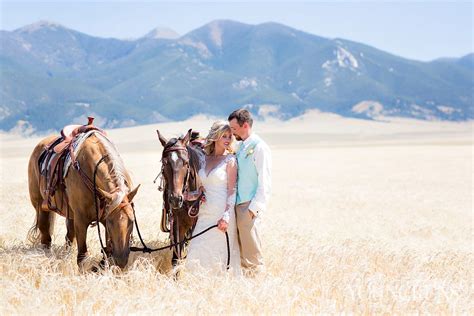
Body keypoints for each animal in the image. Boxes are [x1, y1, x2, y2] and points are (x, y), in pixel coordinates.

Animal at [27, 130, 139, 268]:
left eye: (132, 220)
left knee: (69, 236)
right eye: (111, 222)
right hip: (40, 207)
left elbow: (106, 255)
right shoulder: (81, 219)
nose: (121, 259)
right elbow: (82, 256)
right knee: (46, 237)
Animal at [156, 129, 205, 266]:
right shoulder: (177, 222)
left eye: (186, 162)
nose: (175, 199)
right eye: (164, 163)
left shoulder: (195, 221)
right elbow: (176, 254)